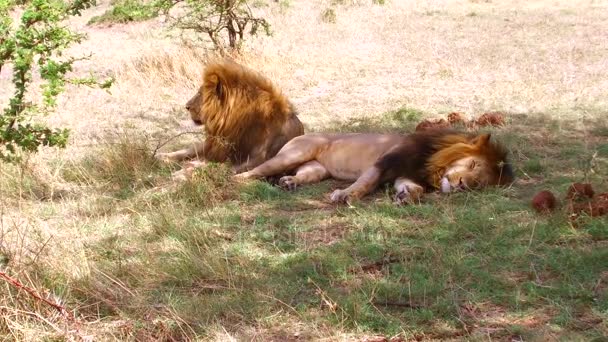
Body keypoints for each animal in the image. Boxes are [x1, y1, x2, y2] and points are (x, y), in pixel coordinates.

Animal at [157, 61, 304, 179]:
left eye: (199, 94)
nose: (186, 106)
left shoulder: (256, 159)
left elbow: (216, 167)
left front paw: (182, 173)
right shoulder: (220, 146)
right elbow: (195, 154)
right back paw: (160, 156)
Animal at [235, 128, 516, 203]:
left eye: (477, 185)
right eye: (472, 164)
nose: (460, 185)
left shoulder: (405, 174)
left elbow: (415, 189)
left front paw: (406, 196)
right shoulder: (386, 161)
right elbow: (367, 182)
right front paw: (346, 195)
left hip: (315, 169)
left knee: (301, 175)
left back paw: (289, 182)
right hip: (295, 153)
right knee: (257, 171)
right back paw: (237, 180)